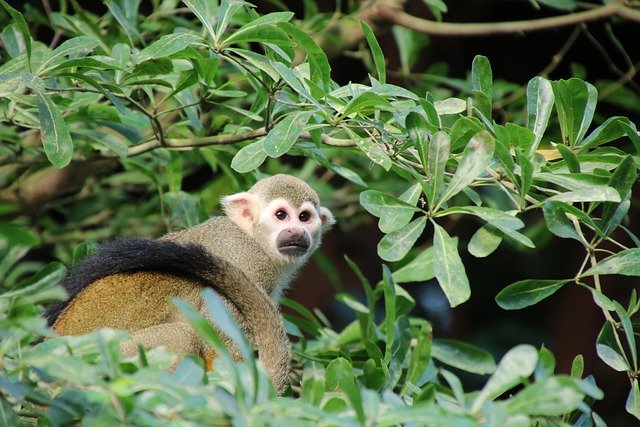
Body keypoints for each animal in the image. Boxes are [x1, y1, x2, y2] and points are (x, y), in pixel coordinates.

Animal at [45, 174, 335, 395]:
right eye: (281, 215)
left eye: (305, 217)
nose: (297, 232)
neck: (253, 238)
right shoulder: (247, 263)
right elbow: (218, 340)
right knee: (182, 335)